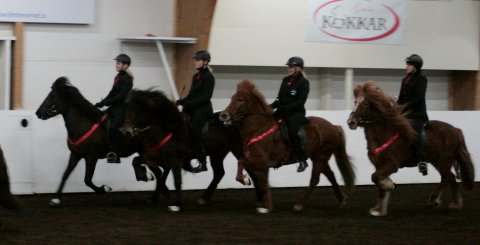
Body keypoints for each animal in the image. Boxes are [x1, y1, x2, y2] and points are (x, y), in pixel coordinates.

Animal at [34, 77, 169, 207]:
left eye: (53, 96)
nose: (38, 112)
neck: (83, 125)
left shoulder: (91, 157)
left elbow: (87, 180)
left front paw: (105, 188)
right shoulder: (75, 155)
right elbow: (65, 175)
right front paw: (55, 199)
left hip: (148, 152)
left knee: (163, 169)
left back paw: (157, 189)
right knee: (159, 171)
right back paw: (155, 195)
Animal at [219, 80, 354, 212]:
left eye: (240, 99)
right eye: (232, 98)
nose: (223, 115)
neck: (258, 128)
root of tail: (334, 127)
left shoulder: (260, 161)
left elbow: (242, 164)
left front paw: (246, 181)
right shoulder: (259, 163)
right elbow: (262, 180)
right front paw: (266, 206)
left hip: (320, 157)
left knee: (315, 180)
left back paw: (299, 204)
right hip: (319, 158)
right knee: (330, 175)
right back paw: (342, 200)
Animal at [346, 81, 474, 216]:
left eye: (365, 103)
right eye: (355, 102)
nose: (351, 122)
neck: (384, 134)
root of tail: (456, 130)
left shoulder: (392, 164)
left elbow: (375, 177)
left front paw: (389, 186)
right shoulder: (379, 165)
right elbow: (376, 179)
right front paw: (378, 209)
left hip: (444, 161)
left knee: (446, 178)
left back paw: (434, 201)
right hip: (438, 161)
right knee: (451, 178)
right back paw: (455, 204)